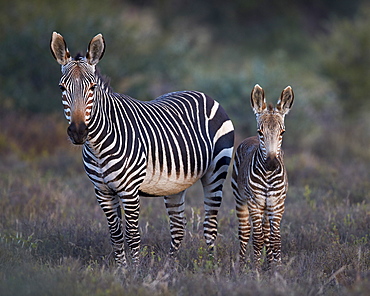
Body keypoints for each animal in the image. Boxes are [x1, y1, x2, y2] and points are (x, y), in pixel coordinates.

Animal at [49, 31, 234, 266]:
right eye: (62, 88)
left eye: (92, 88)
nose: (78, 132)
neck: (98, 146)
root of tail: (204, 95)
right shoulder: (102, 191)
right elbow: (116, 234)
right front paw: (121, 268)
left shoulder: (129, 191)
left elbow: (133, 235)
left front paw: (135, 271)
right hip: (175, 184)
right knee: (178, 227)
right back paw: (169, 267)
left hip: (216, 172)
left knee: (210, 225)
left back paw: (211, 266)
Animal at [231, 84, 294, 270]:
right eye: (260, 131)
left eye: (282, 132)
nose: (272, 164)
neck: (268, 176)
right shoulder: (255, 202)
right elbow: (257, 238)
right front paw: (256, 269)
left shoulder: (277, 203)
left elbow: (275, 238)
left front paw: (276, 268)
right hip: (240, 199)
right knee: (245, 232)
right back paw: (242, 266)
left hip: (267, 205)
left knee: (266, 232)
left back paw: (268, 262)